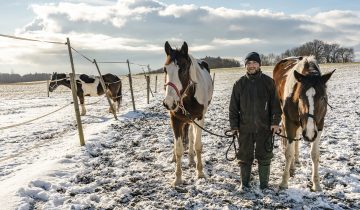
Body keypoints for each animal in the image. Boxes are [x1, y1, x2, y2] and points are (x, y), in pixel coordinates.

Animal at [163, 41, 214, 186]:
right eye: (165, 69)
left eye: (184, 68)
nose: (169, 103)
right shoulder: (175, 119)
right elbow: (179, 149)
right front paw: (178, 178)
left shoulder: (199, 119)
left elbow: (197, 145)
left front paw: (200, 172)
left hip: (193, 120)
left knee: (191, 136)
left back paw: (192, 159)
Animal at [274, 56, 336, 192]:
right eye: (300, 97)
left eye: (323, 97)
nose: (309, 134)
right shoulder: (289, 122)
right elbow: (288, 152)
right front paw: (284, 182)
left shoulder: (319, 125)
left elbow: (315, 154)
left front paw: (316, 184)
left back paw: (296, 161)